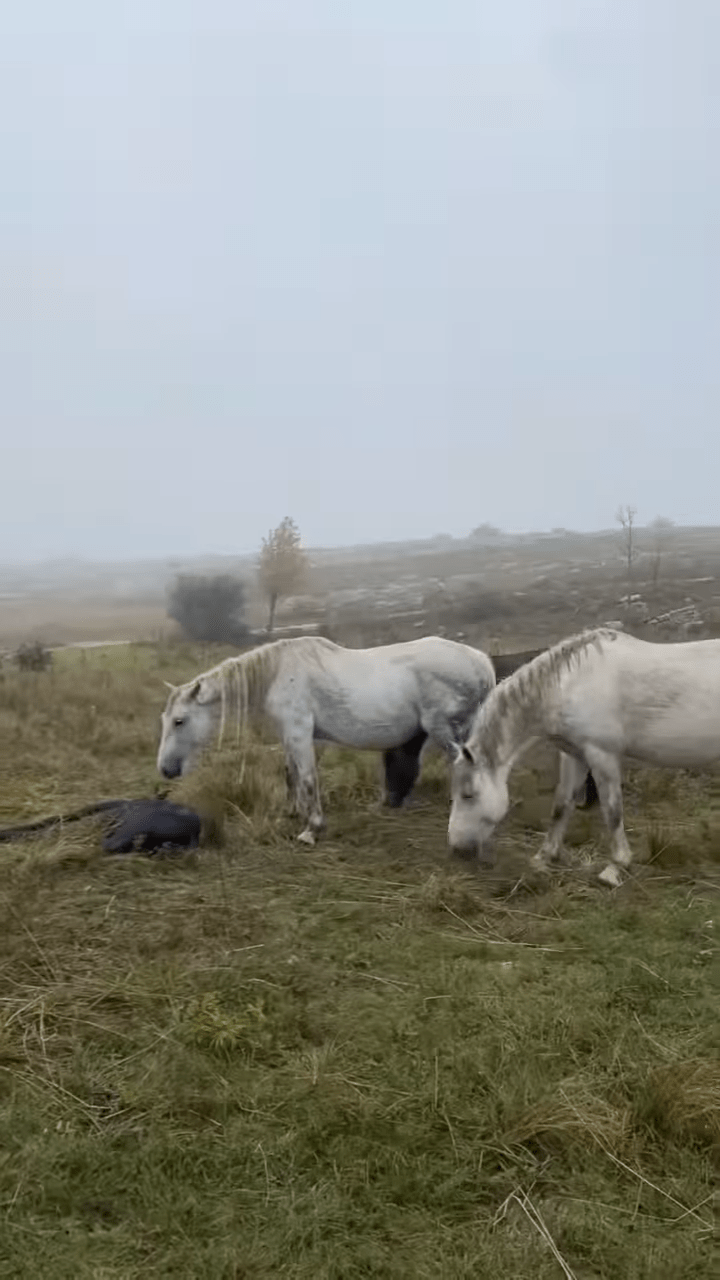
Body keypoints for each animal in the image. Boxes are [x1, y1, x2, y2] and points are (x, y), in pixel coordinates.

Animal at [156, 634, 491, 844]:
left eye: (179, 721)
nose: (166, 769)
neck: (278, 673)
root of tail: (480, 662)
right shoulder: (302, 737)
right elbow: (292, 774)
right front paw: (293, 813)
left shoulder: (299, 732)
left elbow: (307, 778)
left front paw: (312, 829)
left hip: (442, 728)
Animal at [445, 624, 717, 885]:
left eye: (468, 795)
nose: (457, 848)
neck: (569, 685)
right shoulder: (574, 755)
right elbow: (561, 805)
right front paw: (544, 858)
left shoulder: (602, 755)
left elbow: (612, 811)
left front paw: (615, 868)